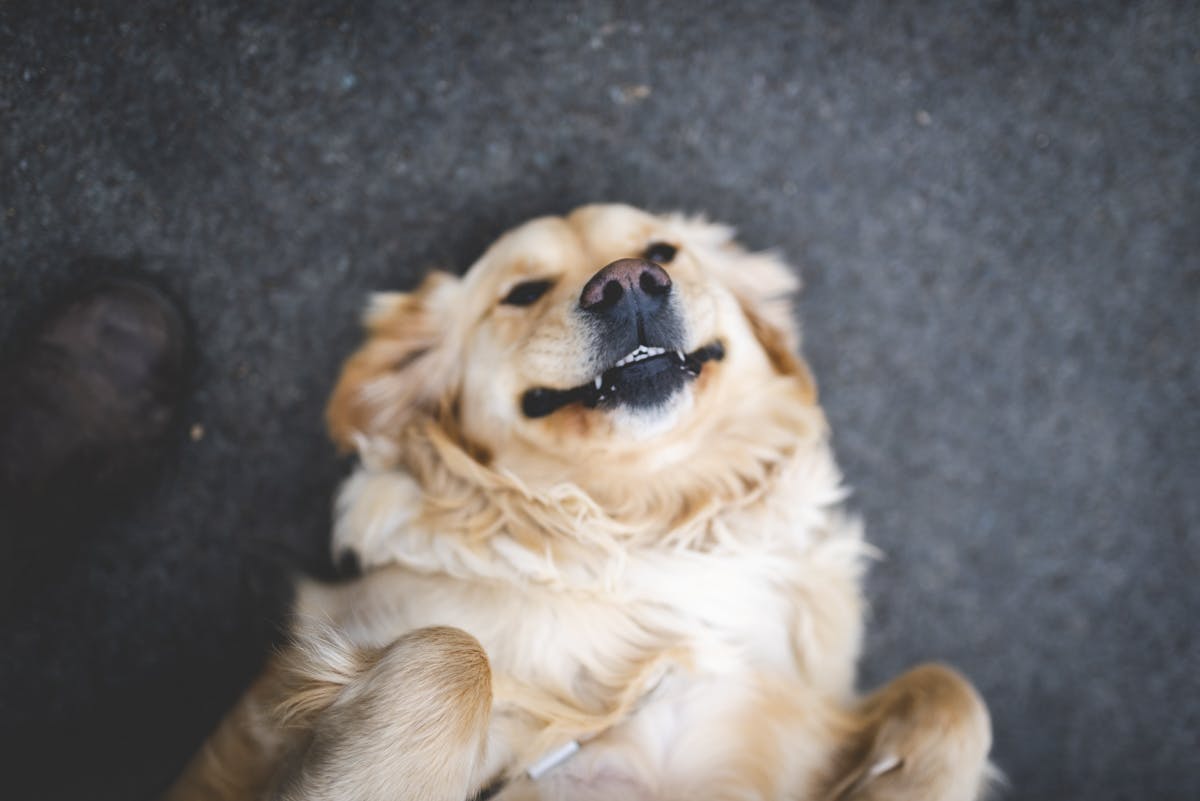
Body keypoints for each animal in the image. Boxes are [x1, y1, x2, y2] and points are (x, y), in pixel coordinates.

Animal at [169, 205, 993, 801]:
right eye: (522, 291)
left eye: (664, 250)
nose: (627, 281)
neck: (646, 529)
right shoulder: (292, 684)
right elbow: (452, 653)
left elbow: (957, 691)